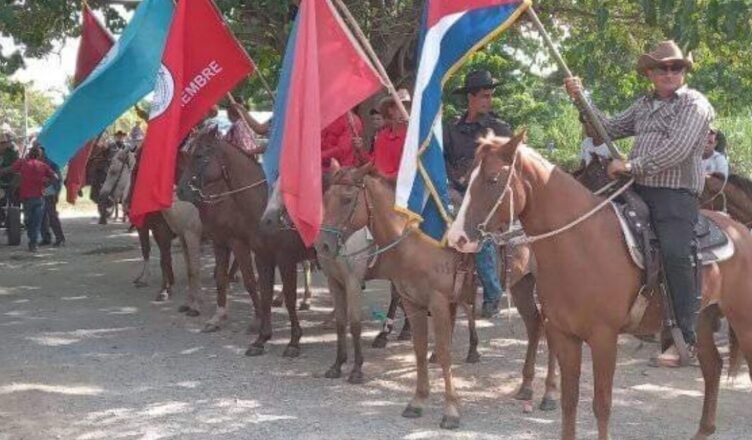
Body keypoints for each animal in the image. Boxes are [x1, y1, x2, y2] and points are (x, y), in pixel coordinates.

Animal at [184, 128, 316, 358]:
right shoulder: (250, 252)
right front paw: (260, 338)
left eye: (199, 155)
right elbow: (258, 290)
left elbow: (282, 294)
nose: (181, 190)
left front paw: (292, 340)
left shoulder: (276, 256)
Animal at [446, 132, 752, 440]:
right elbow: (569, 401)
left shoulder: (603, 337)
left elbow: (602, 404)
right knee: (713, 368)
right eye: (468, 177)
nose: (457, 237)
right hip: (702, 318)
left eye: (493, 179)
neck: (582, 243)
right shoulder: (564, 334)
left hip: (742, 320)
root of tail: (740, 230)